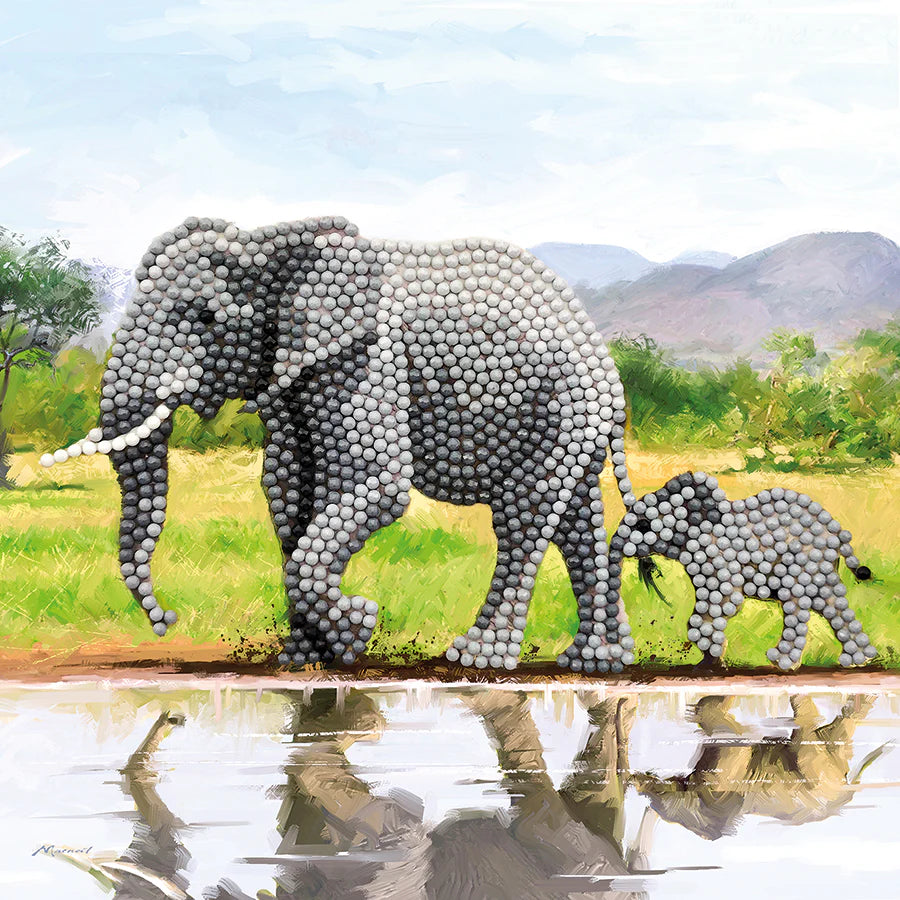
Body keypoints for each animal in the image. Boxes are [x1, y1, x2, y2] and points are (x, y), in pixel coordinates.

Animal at [41, 215, 637, 672]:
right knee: (576, 523)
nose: (167, 619)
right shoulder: (290, 374)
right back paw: (596, 663)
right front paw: (306, 657)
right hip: (572, 421)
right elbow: (287, 492)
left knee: (523, 517)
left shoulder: (366, 357)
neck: (274, 243)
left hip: (564, 407)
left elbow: (375, 484)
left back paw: (477, 658)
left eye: (206, 318)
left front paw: (358, 626)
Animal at [609, 471, 877, 669]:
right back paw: (859, 660)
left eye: (643, 525)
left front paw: (713, 662)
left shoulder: (721, 565)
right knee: (831, 606)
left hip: (803, 565)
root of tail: (837, 531)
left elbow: (722, 604)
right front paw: (709, 663)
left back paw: (782, 662)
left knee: (799, 609)